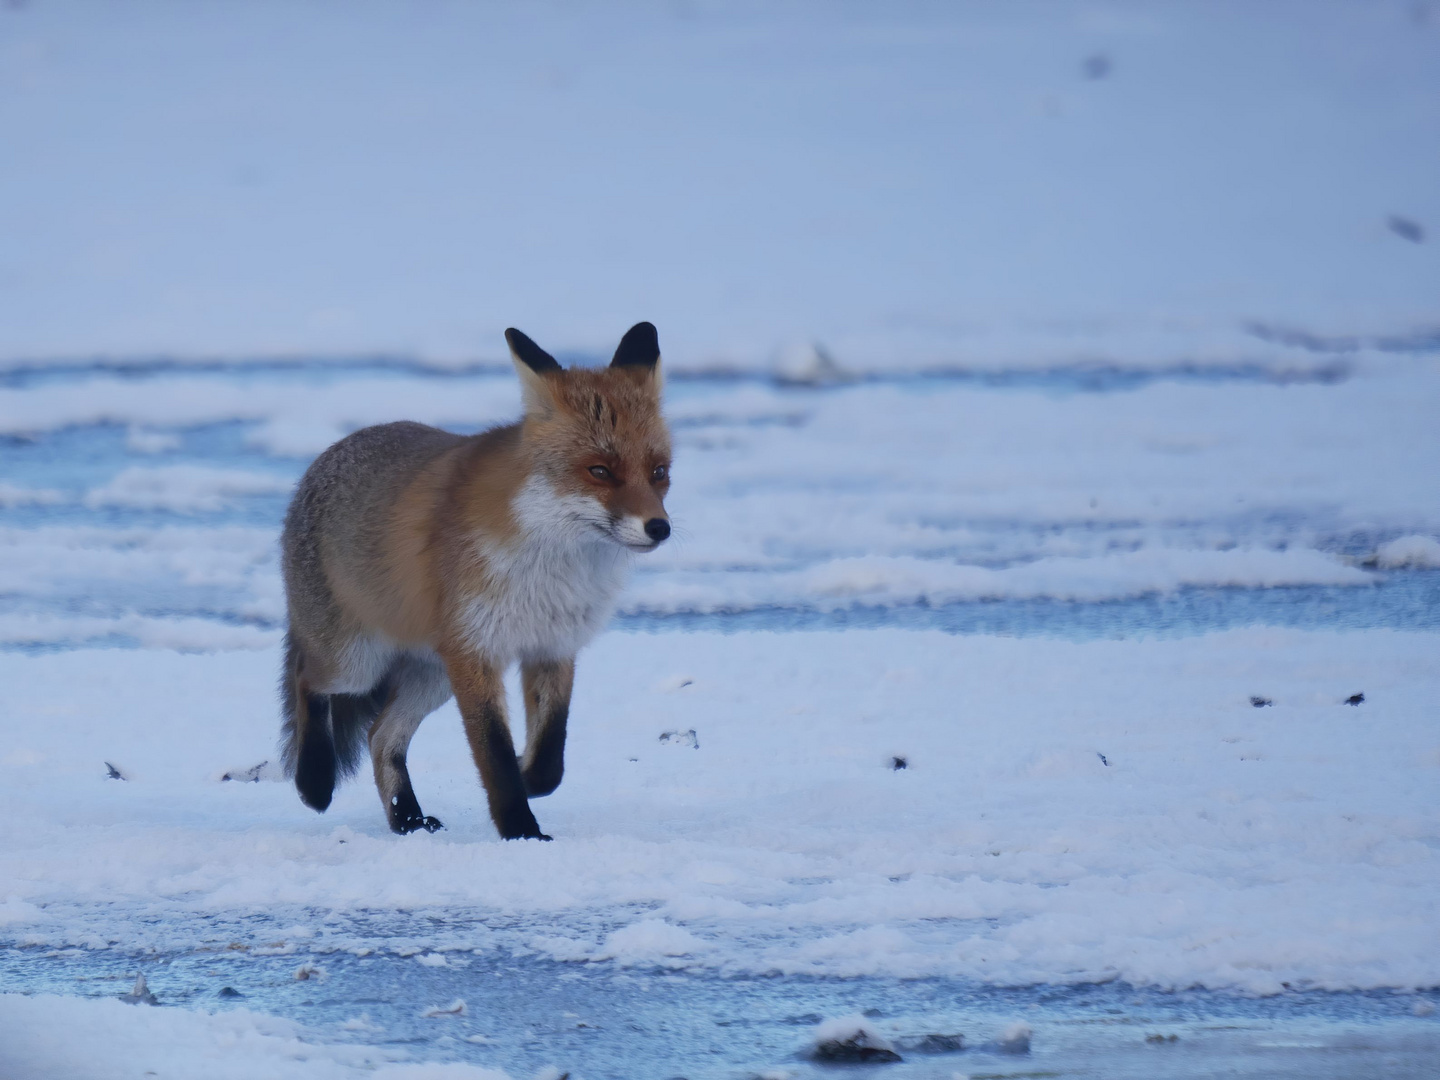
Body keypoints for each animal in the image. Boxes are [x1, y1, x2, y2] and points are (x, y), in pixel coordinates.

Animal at [277, 325, 671, 840]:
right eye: (600, 471)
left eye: (659, 472)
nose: (659, 528)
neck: (550, 570)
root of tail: (320, 461)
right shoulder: (476, 653)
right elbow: (495, 755)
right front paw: (522, 832)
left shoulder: (552, 646)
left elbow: (549, 759)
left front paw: (528, 778)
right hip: (357, 663)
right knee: (308, 678)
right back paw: (314, 783)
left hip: (431, 676)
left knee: (380, 734)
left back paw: (407, 820)